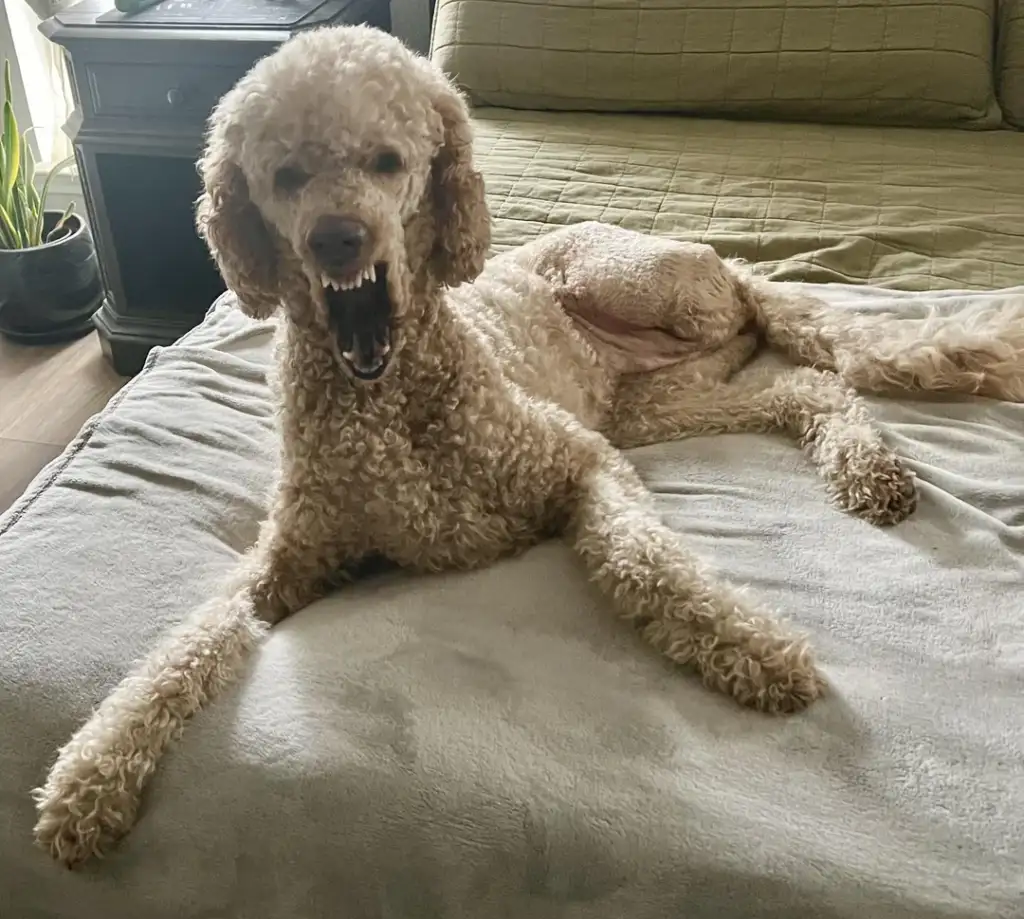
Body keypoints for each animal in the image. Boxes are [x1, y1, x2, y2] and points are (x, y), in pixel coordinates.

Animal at [32, 25, 1024, 864]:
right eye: (285, 175)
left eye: (387, 162)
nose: (337, 238)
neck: (386, 400)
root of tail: (724, 266)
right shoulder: (285, 563)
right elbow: (179, 647)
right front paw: (89, 777)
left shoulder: (582, 460)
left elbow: (641, 559)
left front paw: (755, 648)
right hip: (658, 405)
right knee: (803, 388)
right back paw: (863, 464)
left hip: (623, 291)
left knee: (794, 356)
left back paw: (867, 464)